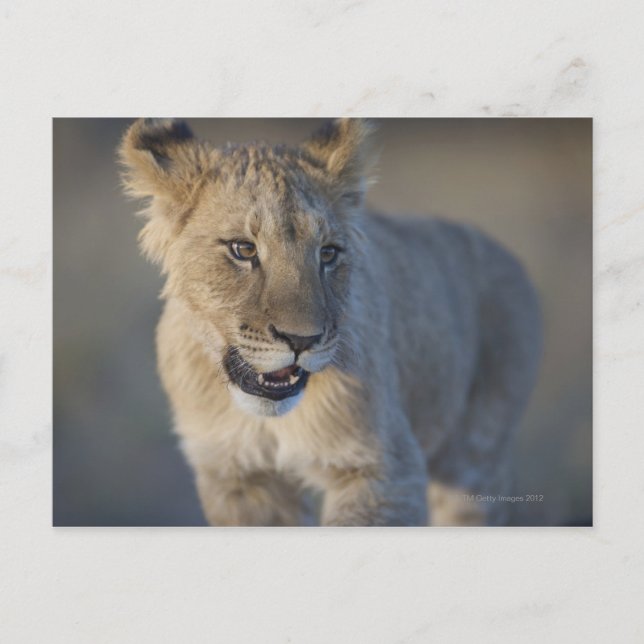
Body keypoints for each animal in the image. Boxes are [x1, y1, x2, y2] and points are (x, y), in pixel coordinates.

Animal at [118, 118, 541, 526]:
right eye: (243, 249)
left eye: (328, 253)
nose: (301, 340)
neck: (268, 422)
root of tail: (506, 254)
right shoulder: (237, 477)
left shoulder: (388, 470)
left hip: (474, 460)